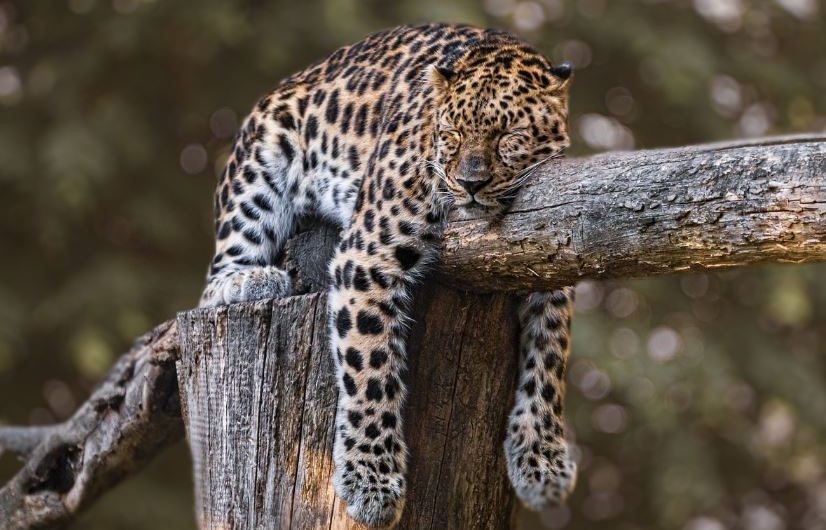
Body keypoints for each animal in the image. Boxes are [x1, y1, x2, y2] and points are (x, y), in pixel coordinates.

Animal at [199, 23, 575, 528]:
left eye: (509, 135)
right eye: (453, 133)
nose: (470, 184)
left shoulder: (552, 262)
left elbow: (549, 362)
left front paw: (541, 461)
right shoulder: (367, 256)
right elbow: (371, 366)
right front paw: (371, 482)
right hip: (258, 167)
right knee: (214, 278)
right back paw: (250, 280)